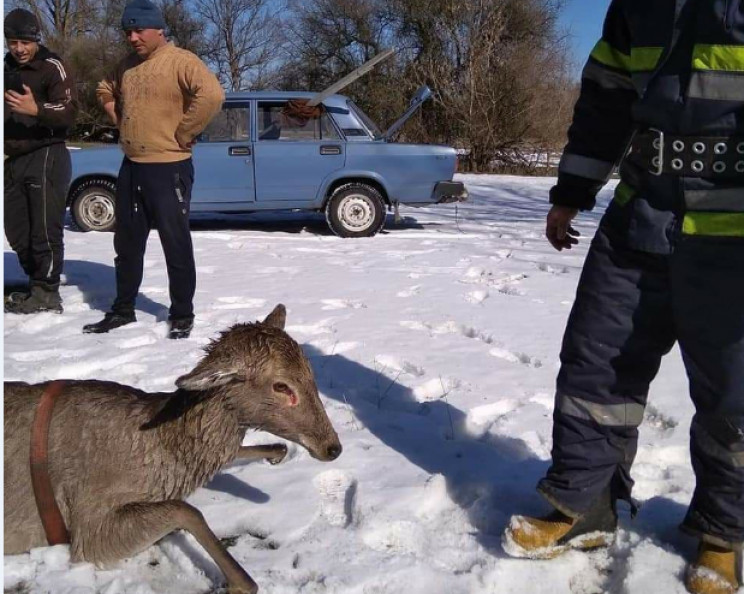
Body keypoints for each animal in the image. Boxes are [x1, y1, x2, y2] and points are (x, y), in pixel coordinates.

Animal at [4, 306, 342, 592]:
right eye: (281, 386)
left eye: (311, 373)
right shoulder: (88, 526)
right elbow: (186, 509)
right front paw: (239, 583)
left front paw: (277, 452)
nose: (333, 447)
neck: (155, 452)